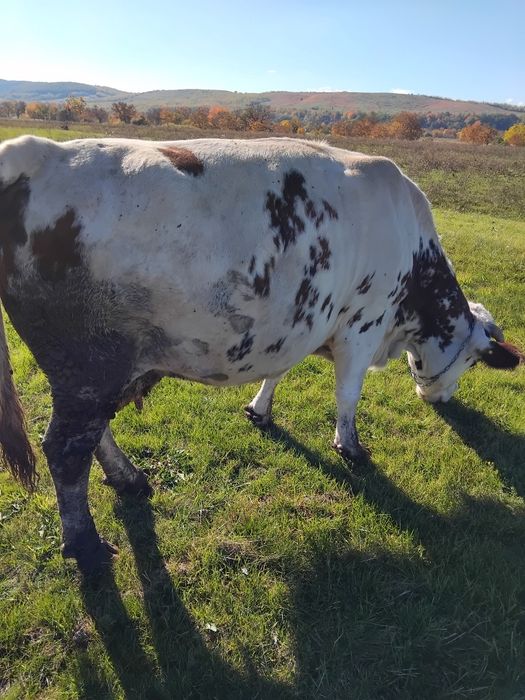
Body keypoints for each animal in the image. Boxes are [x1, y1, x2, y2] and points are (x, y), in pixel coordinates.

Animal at [0, 135, 522, 572]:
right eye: (472, 360)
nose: (441, 399)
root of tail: (37, 150)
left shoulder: (297, 323)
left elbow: (279, 371)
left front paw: (259, 409)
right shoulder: (362, 325)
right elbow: (348, 396)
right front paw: (350, 447)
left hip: (97, 371)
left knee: (94, 434)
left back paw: (128, 478)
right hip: (88, 365)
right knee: (65, 450)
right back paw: (85, 544)